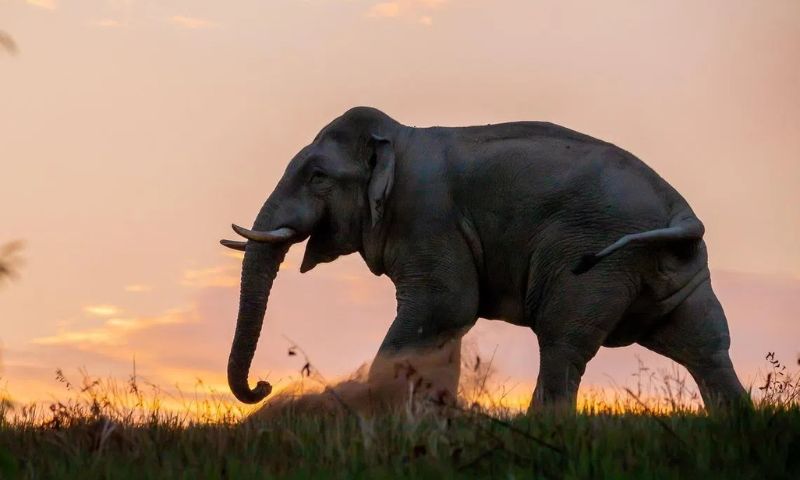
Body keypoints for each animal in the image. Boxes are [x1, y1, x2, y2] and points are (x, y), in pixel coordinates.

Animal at [220, 106, 748, 412]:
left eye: (317, 177)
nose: (263, 387)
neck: (398, 139)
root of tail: (682, 213)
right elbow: (442, 330)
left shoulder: (427, 216)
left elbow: (442, 309)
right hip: (676, 269)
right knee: (707, 348)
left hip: (595, 261)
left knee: (563, 343)